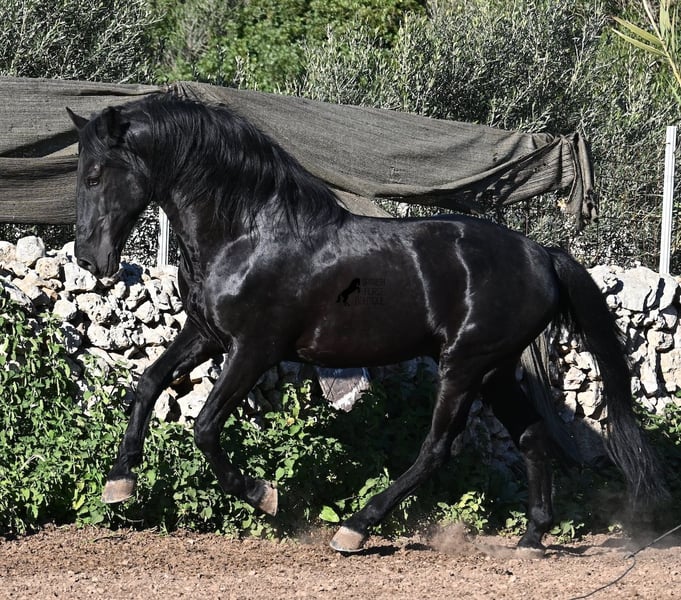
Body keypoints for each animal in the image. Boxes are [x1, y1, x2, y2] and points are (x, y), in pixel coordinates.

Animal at [66, 95, 667, 554]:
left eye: (95, 175)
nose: (90, 259)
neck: (248, 232)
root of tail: (543, 254)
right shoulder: (208, 334)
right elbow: (148, 382)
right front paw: (120, 482)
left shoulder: (255, 348)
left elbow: (205, 427)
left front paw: (264, 495)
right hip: (494, 369)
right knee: (532, 436)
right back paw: (531, 539)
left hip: (464, 365)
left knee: (437, 449)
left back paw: (356, 529)